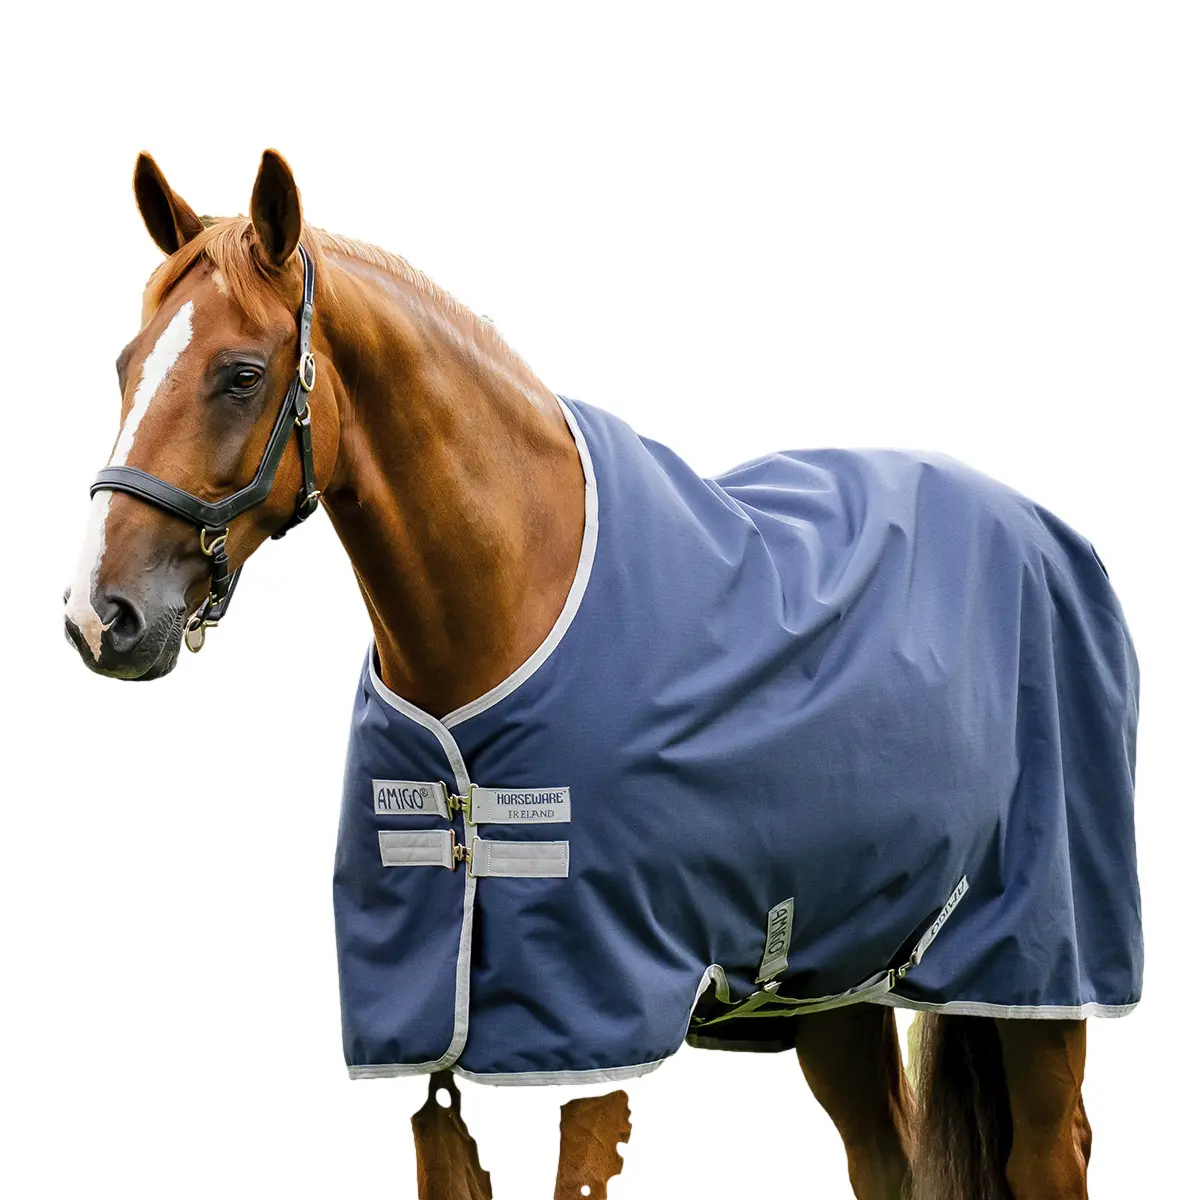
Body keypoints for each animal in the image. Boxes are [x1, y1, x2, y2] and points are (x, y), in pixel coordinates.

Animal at [64, 150, 1140, 1200]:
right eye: (125, 364)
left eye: (241, 374)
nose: (99, 617)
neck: (514, 598)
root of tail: (1047, 533)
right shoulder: (438, 1026)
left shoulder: (594, 1014)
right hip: (838, 982)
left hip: (1037, 978)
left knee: (1049, 1155)